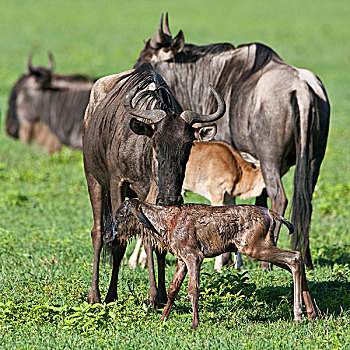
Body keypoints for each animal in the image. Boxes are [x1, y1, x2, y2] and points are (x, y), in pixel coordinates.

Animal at [106, 198, 314, 330]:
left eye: (121, 215)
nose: (108, 236)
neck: (162, 226)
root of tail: (271, 213)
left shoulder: (194, 256)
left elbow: (192, 290)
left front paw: (194, 324)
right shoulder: (182, 259)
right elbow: (173, 289)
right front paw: (163, 318)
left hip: (254, 247)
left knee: (295, 258)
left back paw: (298, 314)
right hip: (261, 246)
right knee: (295, 260)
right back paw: (312, 313)